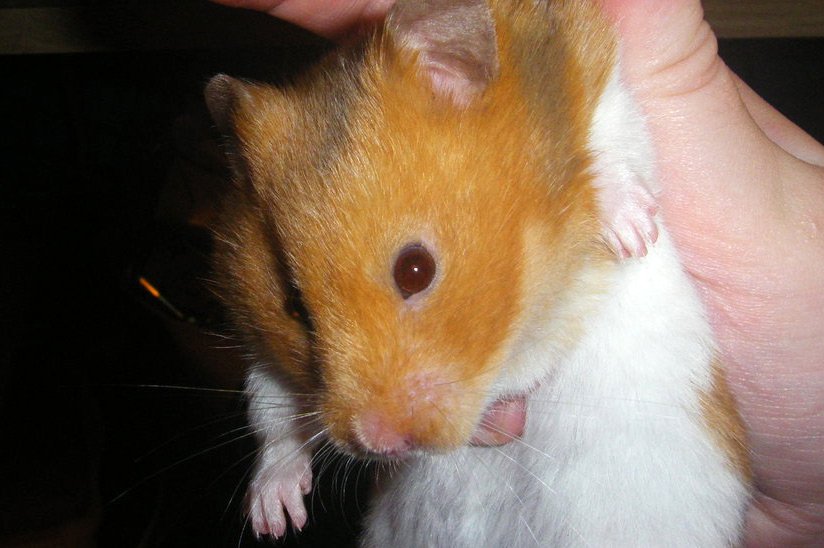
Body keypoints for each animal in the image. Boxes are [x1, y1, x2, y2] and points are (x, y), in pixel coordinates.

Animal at [205, 0, 751, 545]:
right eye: (294, 306)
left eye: (416, 270)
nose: (378, 443)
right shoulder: (260, 350)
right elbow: (271, 408)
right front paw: (272, 519)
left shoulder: (595, 70)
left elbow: (614, 143)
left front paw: (635, 233)